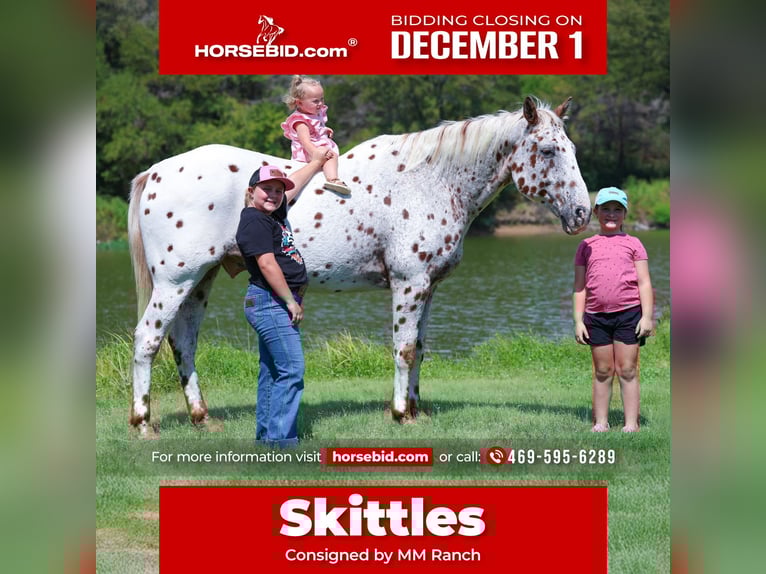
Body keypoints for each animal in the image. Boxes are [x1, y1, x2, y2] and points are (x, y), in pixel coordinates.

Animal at [127, 96, 591, 435]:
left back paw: (201, 417)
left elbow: (420, 348)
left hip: (199, 281)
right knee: (148, 340)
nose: (582, 213)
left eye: (571, 149)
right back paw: (143, 423)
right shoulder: (409, 283)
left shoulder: (429, 287)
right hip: (175, 281)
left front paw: (416, 410)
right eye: (548, 150)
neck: (430, 181)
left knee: (183, 344)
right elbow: (404, 349)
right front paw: (401, 413)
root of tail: (155, 173)